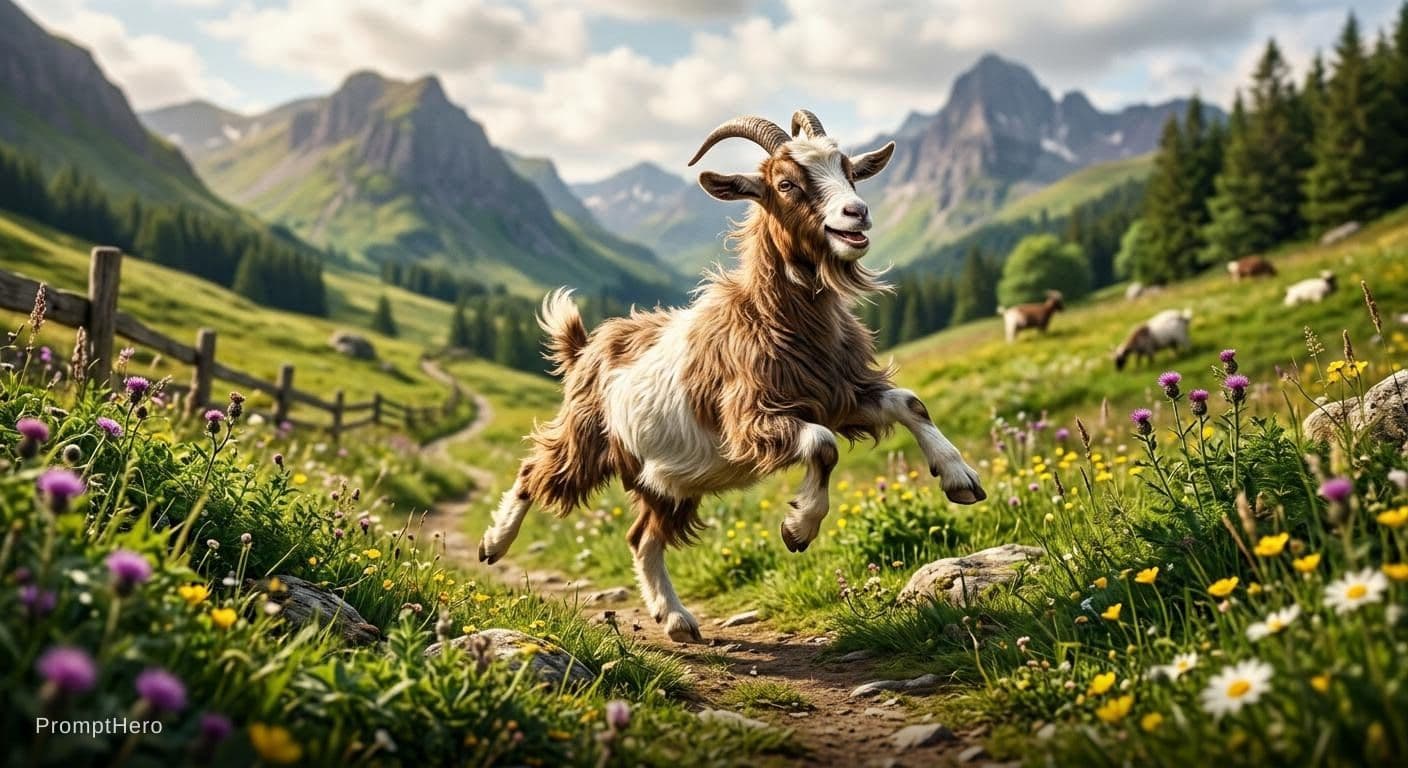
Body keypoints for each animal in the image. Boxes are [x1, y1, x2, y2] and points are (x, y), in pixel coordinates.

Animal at [476, 111, 986, 643]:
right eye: (785, 183)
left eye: (849, 171)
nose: (857, 213)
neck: (773, 317)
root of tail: (586, 347)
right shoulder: (750, 419)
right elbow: (822, 444)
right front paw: (799, 528)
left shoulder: (838, 394)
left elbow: (909, 402)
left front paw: (960, 478)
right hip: (587, 437)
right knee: (535, 472)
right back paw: (494, 543)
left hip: (668, 480)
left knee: (641, 538)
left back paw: (674, 618)